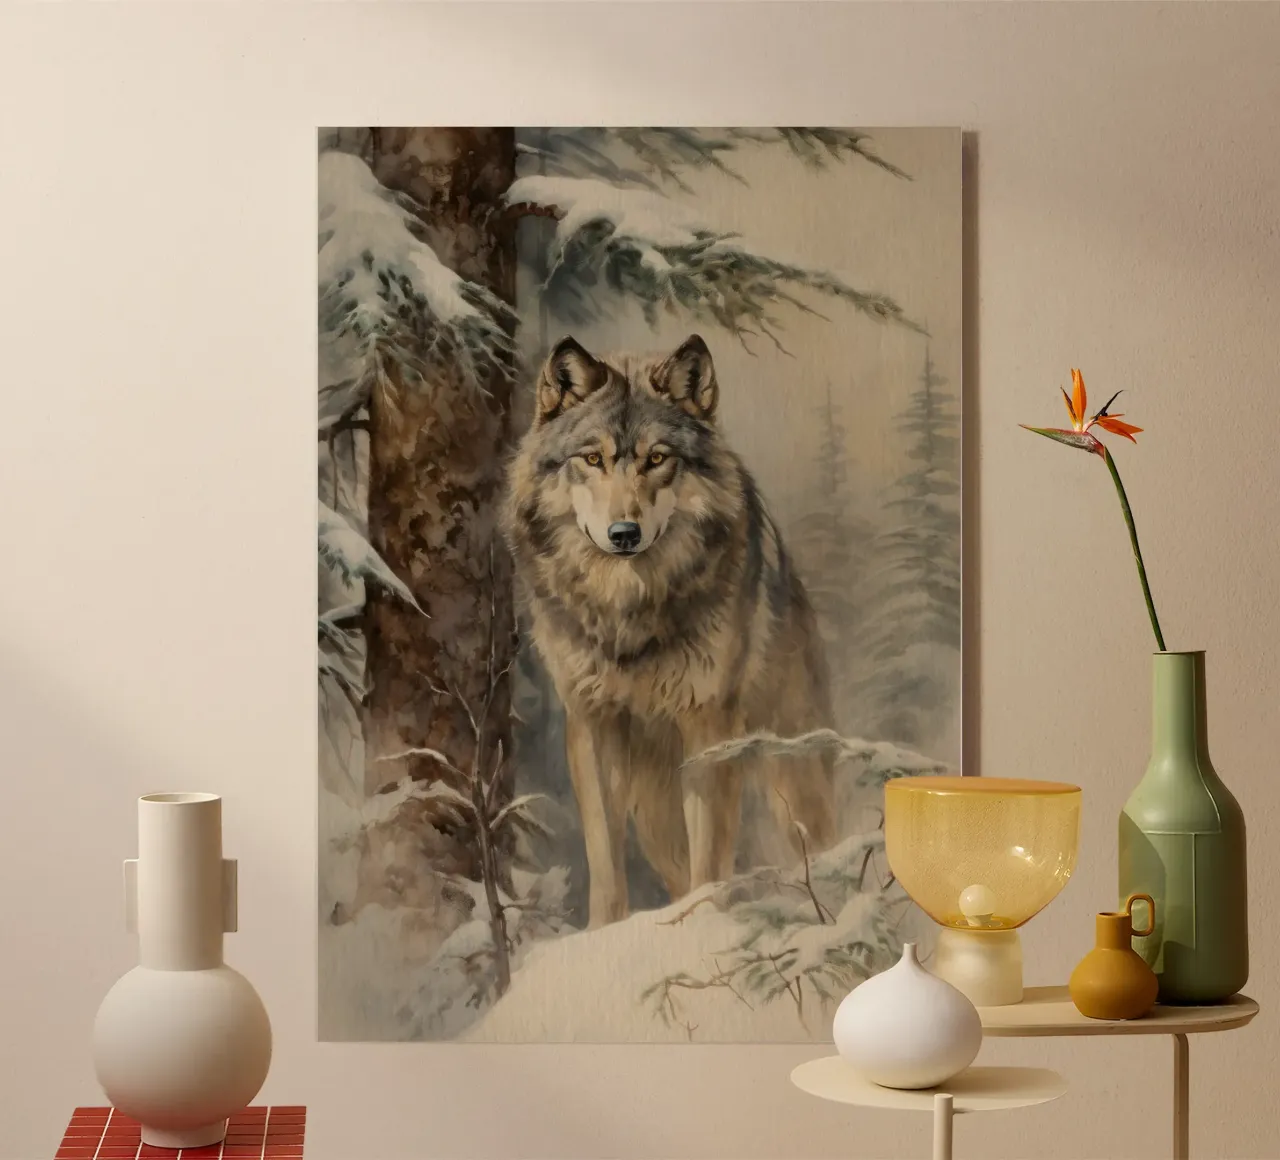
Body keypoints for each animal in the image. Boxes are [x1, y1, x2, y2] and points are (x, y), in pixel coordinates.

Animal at [503, 333, 836, 927]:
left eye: (657, 459)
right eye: (593, 458)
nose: (624, 533)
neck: (629, 612)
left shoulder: (709, 724)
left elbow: (711, 858)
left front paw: (705, 929)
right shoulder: (593, 724)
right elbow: (605, 861)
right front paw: (606, 935)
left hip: (791, 775)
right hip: (655, 814)